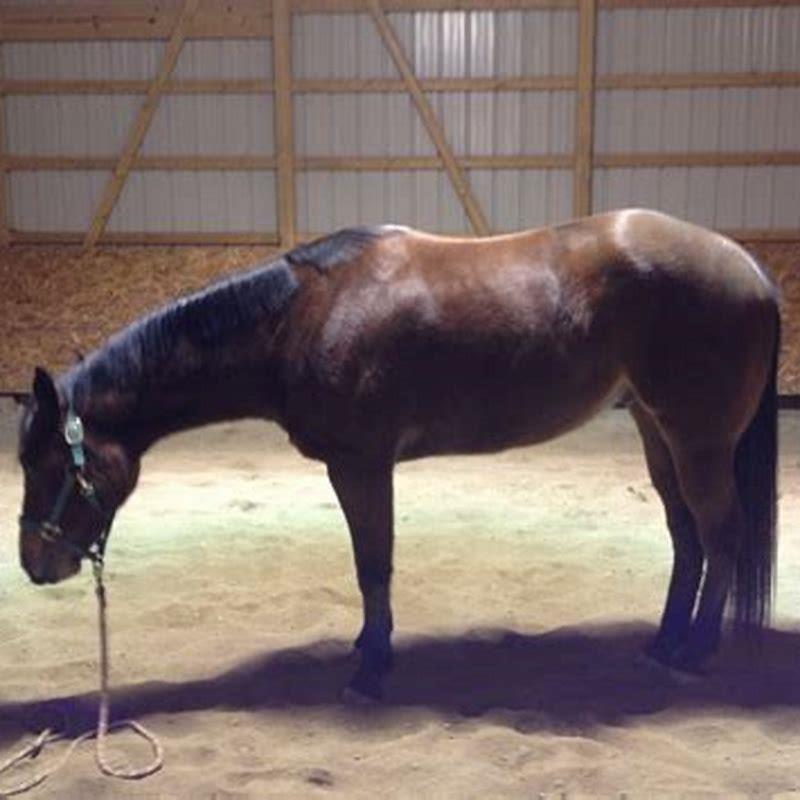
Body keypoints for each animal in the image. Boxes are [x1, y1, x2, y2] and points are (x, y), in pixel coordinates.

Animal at [16, 208, 779, 701]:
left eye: (52, 464)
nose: (34, 565)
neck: (301, 316)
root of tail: (748, 267)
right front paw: (365, 648)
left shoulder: (360, 465)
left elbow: (373, 564)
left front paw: (371, 669)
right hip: (659, 434)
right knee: (686, 537)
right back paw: (664, 643)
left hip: (697, 441)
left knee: (721, 535)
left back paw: (692, 654)